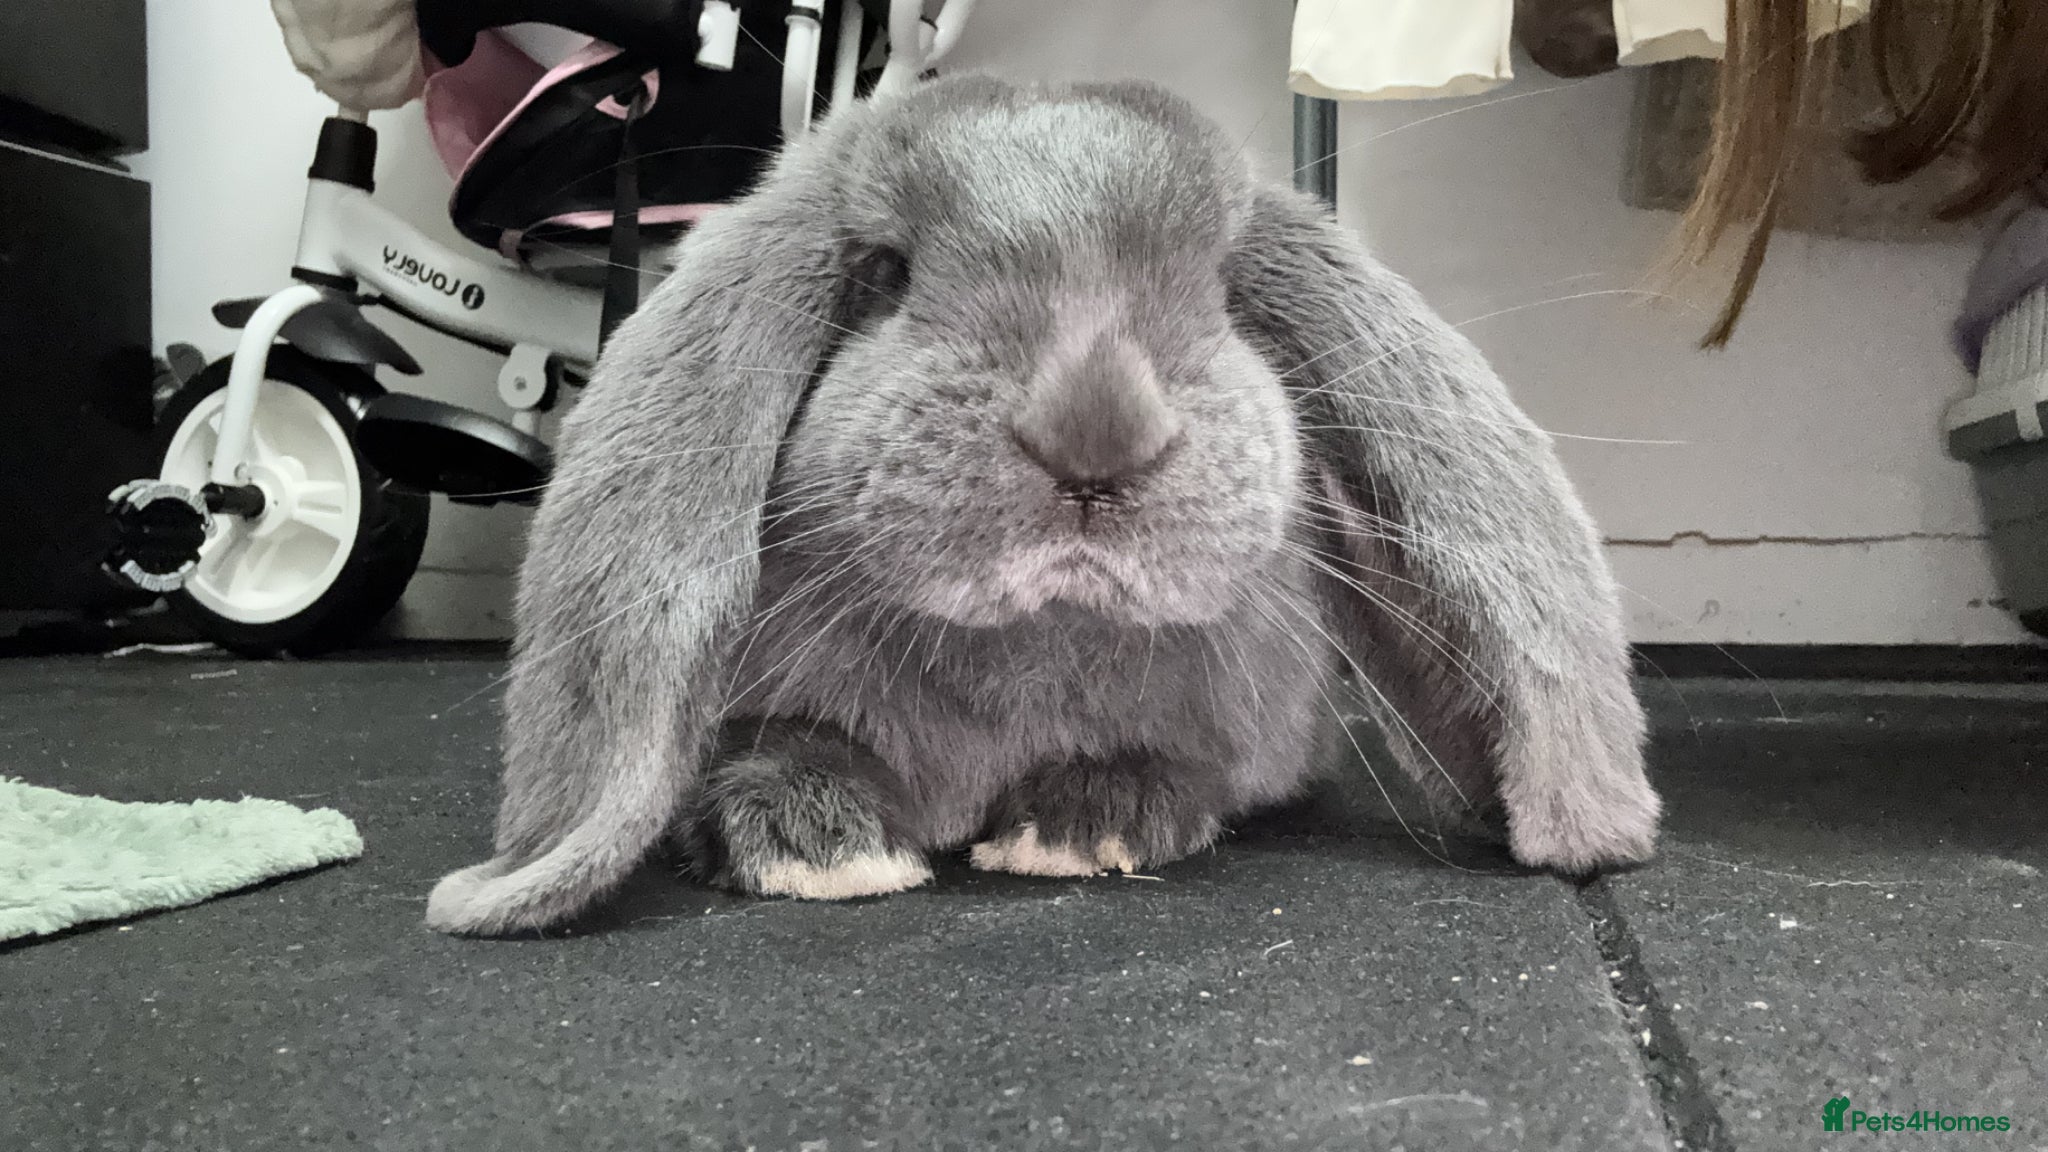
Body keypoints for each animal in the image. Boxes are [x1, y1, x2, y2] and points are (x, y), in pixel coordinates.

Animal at [424, 74, 1659, 936]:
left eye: (1225, 291)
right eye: (883, 275)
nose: (1094, 435)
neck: (1027, 645)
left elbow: (1178, 765)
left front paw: (1085, 822)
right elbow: (780, 751)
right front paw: (817, 842)